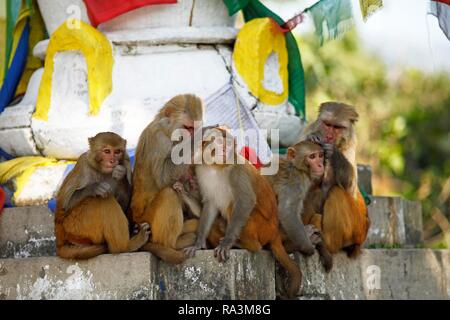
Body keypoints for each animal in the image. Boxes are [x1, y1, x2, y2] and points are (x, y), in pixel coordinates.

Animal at [55, 132, 150, 260]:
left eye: (117, 151)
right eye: (107, 151)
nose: (113, 161)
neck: (101, 170)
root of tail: (59, 241)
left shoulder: (126, 163)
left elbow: (124, 204)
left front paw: (121, 173)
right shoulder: (83, 164)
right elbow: (64, 205)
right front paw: (95, 187)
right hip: (74, 226)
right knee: (103, 199)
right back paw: (125, 247)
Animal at [130, 94, 204, 264]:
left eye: (194, 127)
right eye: (188, 128)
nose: (193, 135)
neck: (168, 130)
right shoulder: (159, 141)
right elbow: (163, 177)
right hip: (147, 221)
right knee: (168, 194)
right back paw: (172, 244)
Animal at [183, 127, 302, 300]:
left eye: (228, 144)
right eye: (219, 143)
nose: (225, 150)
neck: (216, 167)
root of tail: (274, 233)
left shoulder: (237, 171)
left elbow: (245, 201)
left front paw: (227, 243)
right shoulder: (201, 169)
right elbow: (210, 205)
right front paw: (198, 243)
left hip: (263, 229)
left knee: (237, 207)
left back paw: (246, 245)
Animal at [268, 141, 334, 272]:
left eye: (320, 155)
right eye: (312, 157)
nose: (320, 165)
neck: (295, 166)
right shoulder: (296, 180)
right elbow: (287, 212)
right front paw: (308, 248)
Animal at [300, 102, 370, 258]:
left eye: (337, 127)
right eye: (327, 124)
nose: (329, 136)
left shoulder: (350, 146)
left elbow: (350, 187)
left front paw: (333, 152)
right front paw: (313, 137)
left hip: (356, 230)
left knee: (336, 191)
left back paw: (327, 244)